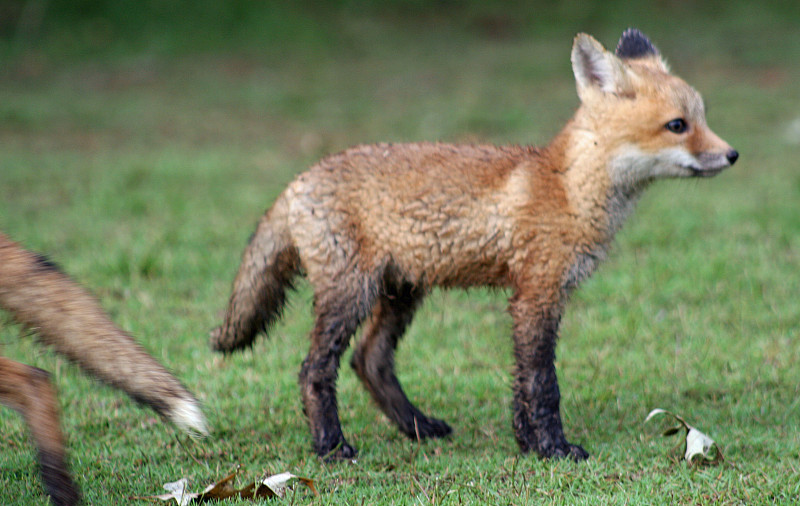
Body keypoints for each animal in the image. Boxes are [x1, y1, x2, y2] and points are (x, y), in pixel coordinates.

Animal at [211, 29, 736, 460]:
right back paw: (331, 446)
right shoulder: (537, 293)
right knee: (314, 370)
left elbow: (521, 385)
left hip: (402, 292)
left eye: (702, 118)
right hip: (350, 294)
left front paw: (527, 445)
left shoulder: (530, 297)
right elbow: (543, 385)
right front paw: (555, 449)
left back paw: (418, 427)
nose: (732, 154)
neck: (567, 189)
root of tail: (299, 179)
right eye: (677, 125)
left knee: (369, 361)